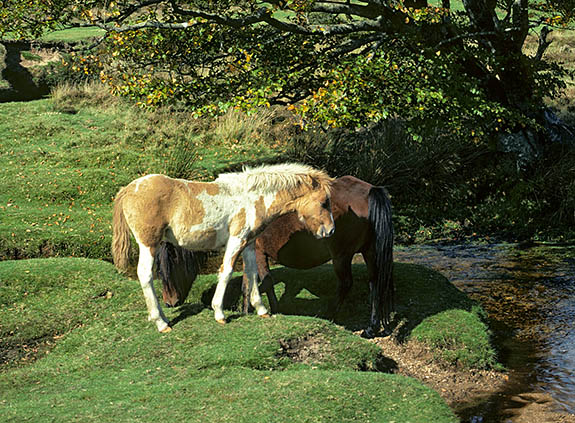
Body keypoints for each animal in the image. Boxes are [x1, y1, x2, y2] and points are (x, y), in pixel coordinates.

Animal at [111, 164, 332, 332]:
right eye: (324, 202)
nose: (330, 230)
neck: (252, 199)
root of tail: (128, 189)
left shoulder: (249, 243)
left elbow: (252, 273)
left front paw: (261, 309)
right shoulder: (236, 240)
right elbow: (226, 271)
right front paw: (219, 313)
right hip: (148, 244)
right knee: (145, 275)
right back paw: (161, 323)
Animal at [155, 175, 394, 338]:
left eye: (168, 270)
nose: (169, 302)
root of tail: (370, 190)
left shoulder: (257, 252)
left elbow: (258, 283)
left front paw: (257, 311)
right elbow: (256, 284)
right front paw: (259, 310)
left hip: (341, 256)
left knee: (346, 284)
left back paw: (329, 315)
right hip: (369, 252)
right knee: (374, 283)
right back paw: (372, 327)